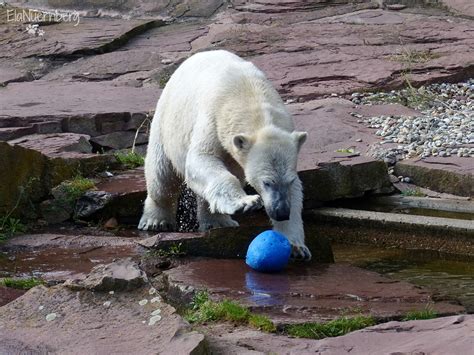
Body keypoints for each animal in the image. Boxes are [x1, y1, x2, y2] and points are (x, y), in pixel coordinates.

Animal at [138, 49, 312, 262]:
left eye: (288, 180)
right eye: (266, 183)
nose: (281, 213)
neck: (250, 96)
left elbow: (296, 193)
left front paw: (297, 247)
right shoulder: (214, 118)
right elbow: (201, 158)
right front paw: (246, 203)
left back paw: (218, 222)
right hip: (166, 120)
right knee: (162, 175)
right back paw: (156, 221)